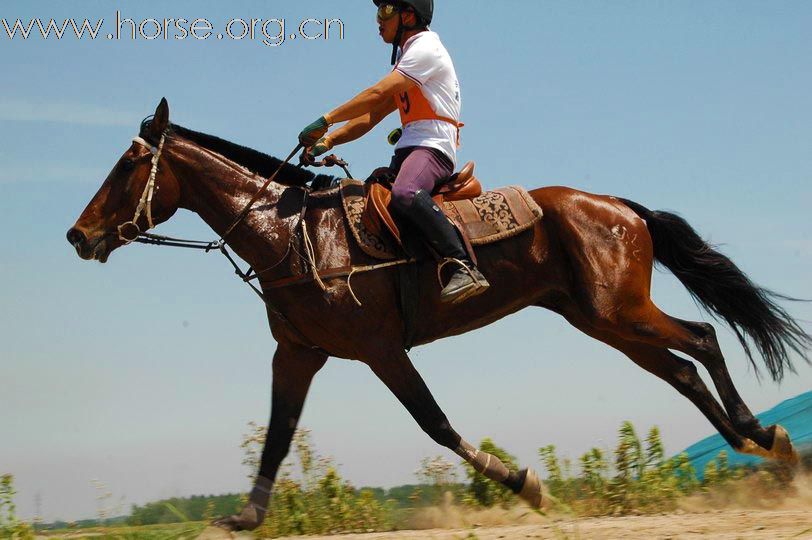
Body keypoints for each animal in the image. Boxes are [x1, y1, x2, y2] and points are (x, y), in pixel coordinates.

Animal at [68, 98, 804, 532]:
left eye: (128, 167)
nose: (79, 235)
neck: (294, 237)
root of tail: (617, 206)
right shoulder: (298, 354)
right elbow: (278, 433)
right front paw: (244, 517)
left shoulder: (381, 350)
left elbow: (436, 424)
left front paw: (526, 485)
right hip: (602, 320)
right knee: (681, 370)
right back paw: (758, 445)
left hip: (620, 309)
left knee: (703, 338)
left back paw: (765, 438)